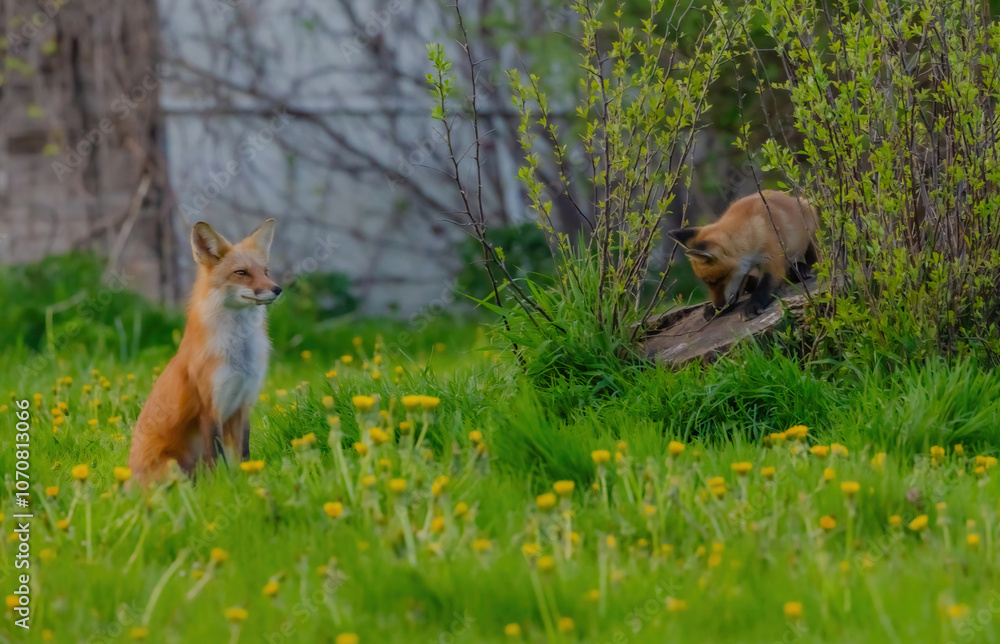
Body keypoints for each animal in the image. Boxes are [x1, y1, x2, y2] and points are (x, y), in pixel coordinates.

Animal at [128, 219, 281, 484]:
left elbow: (243, 452)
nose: (277, 289)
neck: (239, 357)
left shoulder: (244, 402)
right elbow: (216, 457)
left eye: (266, 272)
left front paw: (247, 480)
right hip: (173, 467)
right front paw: (220, 486)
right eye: (241, 273)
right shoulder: (210, 406)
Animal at [668, 190, 819, 320]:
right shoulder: (743, 270)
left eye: (715, 281)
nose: (717, 307)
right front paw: (715, 309)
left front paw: (752, 306)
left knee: (815, 260)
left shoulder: (772, 260)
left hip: (809, 217)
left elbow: (762, 289)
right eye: (708, 283)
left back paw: (803, 270)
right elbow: (738, 290)